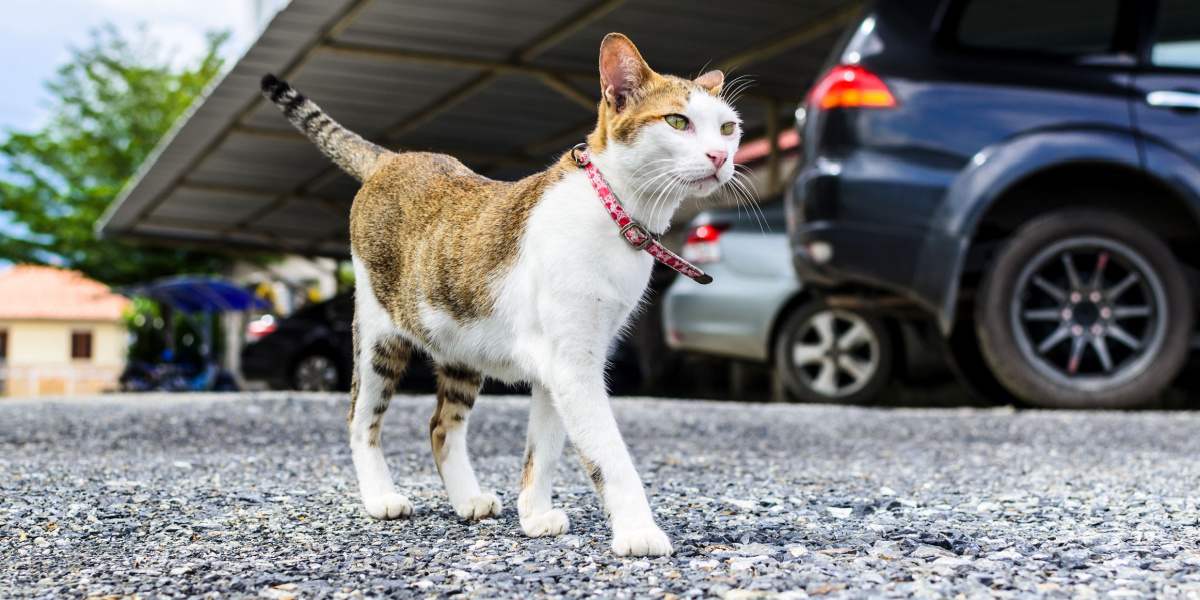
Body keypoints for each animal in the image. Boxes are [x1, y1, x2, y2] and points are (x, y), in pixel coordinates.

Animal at [262, 32, 739, 556]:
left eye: (728, 127)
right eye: (677, 121)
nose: (721, 157)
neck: (613, 211)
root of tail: (393, 158)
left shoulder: (564, 366)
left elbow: (544, 449)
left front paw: (533, 515)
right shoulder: (574, 366)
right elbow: (609, 454)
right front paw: (637, 530)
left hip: (462, 344)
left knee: (441, 427)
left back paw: (468, 499)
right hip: (377, 338)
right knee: (359, 418)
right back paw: (381, 497)